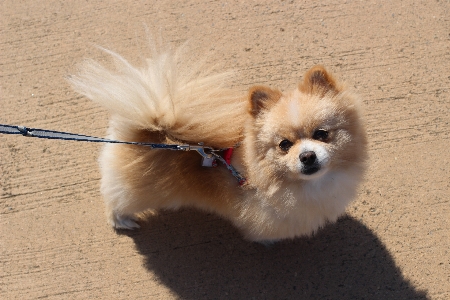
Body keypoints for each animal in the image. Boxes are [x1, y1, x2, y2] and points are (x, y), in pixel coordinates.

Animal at [69, 44, 366, 241]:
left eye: (322, 134)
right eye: (284, 145)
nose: (307, 156)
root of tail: (149, 128)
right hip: (136, 191)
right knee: (115, 200)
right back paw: (122, 221)